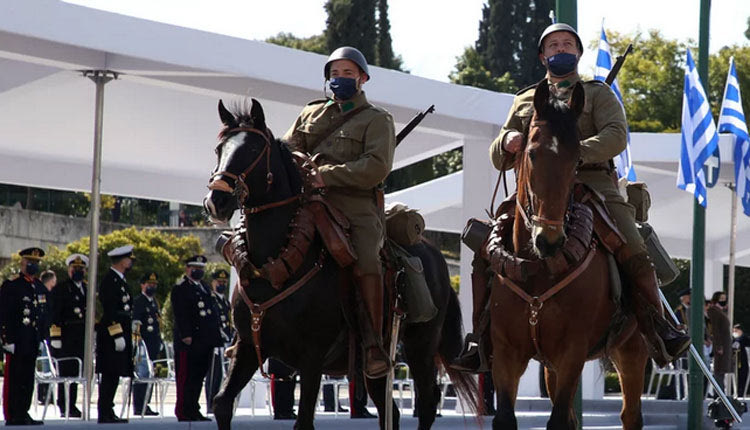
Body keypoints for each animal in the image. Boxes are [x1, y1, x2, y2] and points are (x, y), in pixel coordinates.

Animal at [203, 98, 478, 430]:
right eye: (220, 149)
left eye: (254, 149)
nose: (216, 201)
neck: (273, 269)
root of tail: (433, 252)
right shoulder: (247, 346)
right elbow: (222, 403)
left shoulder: (312, 356)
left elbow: (304, 420)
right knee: (390, 409)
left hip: (420, 346)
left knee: (426, 401)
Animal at [494, 80, 652, 426]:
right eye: (531, 153)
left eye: (577, 157)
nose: (549, 241)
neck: (536, 269)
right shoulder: (506, 352)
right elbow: (507, 417)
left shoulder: (572, 352)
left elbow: (557, 420)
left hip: (632, 348)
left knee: (630, 414)